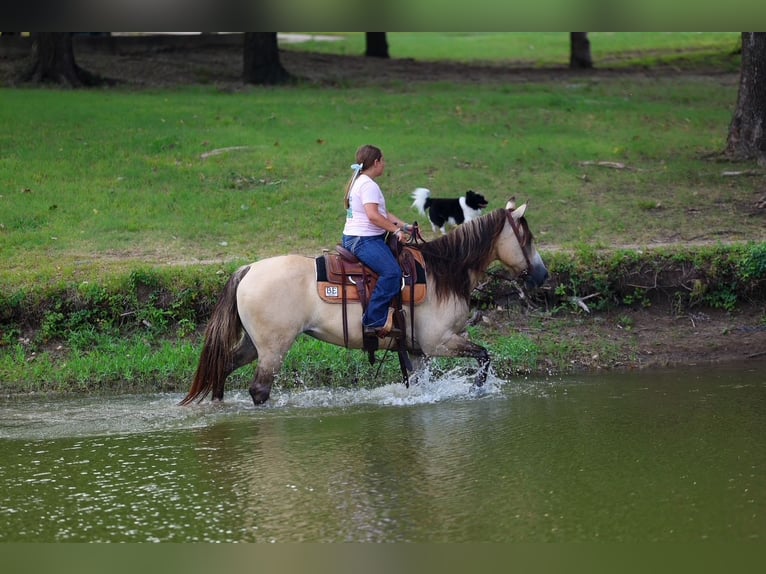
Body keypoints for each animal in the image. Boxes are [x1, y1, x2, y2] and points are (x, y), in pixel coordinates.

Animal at [180, 199, 548, 406]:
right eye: (527, 238)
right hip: (273, 349)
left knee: (223, 367)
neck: (444, 272)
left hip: (254, 345)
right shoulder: (439, 342)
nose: (542, 275)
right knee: (259, 389)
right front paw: (475, 391)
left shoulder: (417, 350)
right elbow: (485, 356)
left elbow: (420, 385)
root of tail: (249, 269)